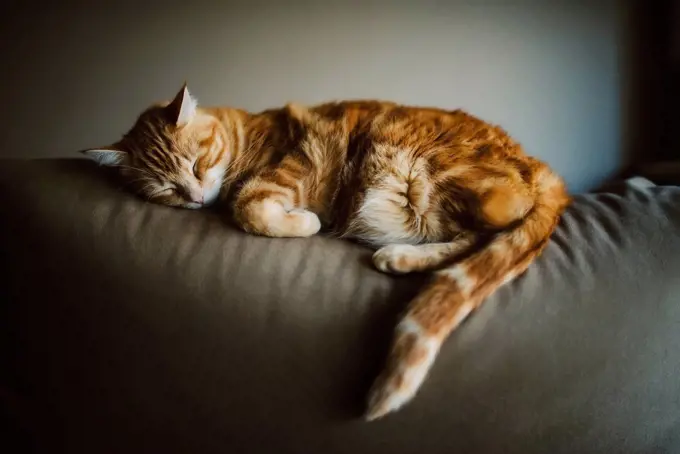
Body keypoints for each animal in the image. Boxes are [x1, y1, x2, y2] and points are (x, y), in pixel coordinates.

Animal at [82, 83, 572, 420]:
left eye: (199, 165)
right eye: (167, 189)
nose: (197, 198)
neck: (244, 136)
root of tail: (543, 168)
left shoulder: (294, 164)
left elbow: (249, 204)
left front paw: (305, 221)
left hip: (416, 162)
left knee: (500, 221)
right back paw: (401, 256)